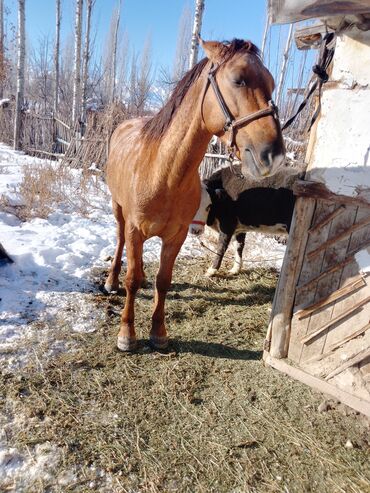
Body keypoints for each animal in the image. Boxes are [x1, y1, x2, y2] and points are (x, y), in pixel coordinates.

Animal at [105, 40, 284, 352]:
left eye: (272, 84)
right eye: (238, 79)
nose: (273, 155)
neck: (164, 174)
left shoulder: (176, 236)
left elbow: (163, 281)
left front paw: (159, 333)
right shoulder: (135, 230)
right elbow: (131, 280)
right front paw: (127, 334)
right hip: (118, 211)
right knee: (119, 244)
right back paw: (111, 281)